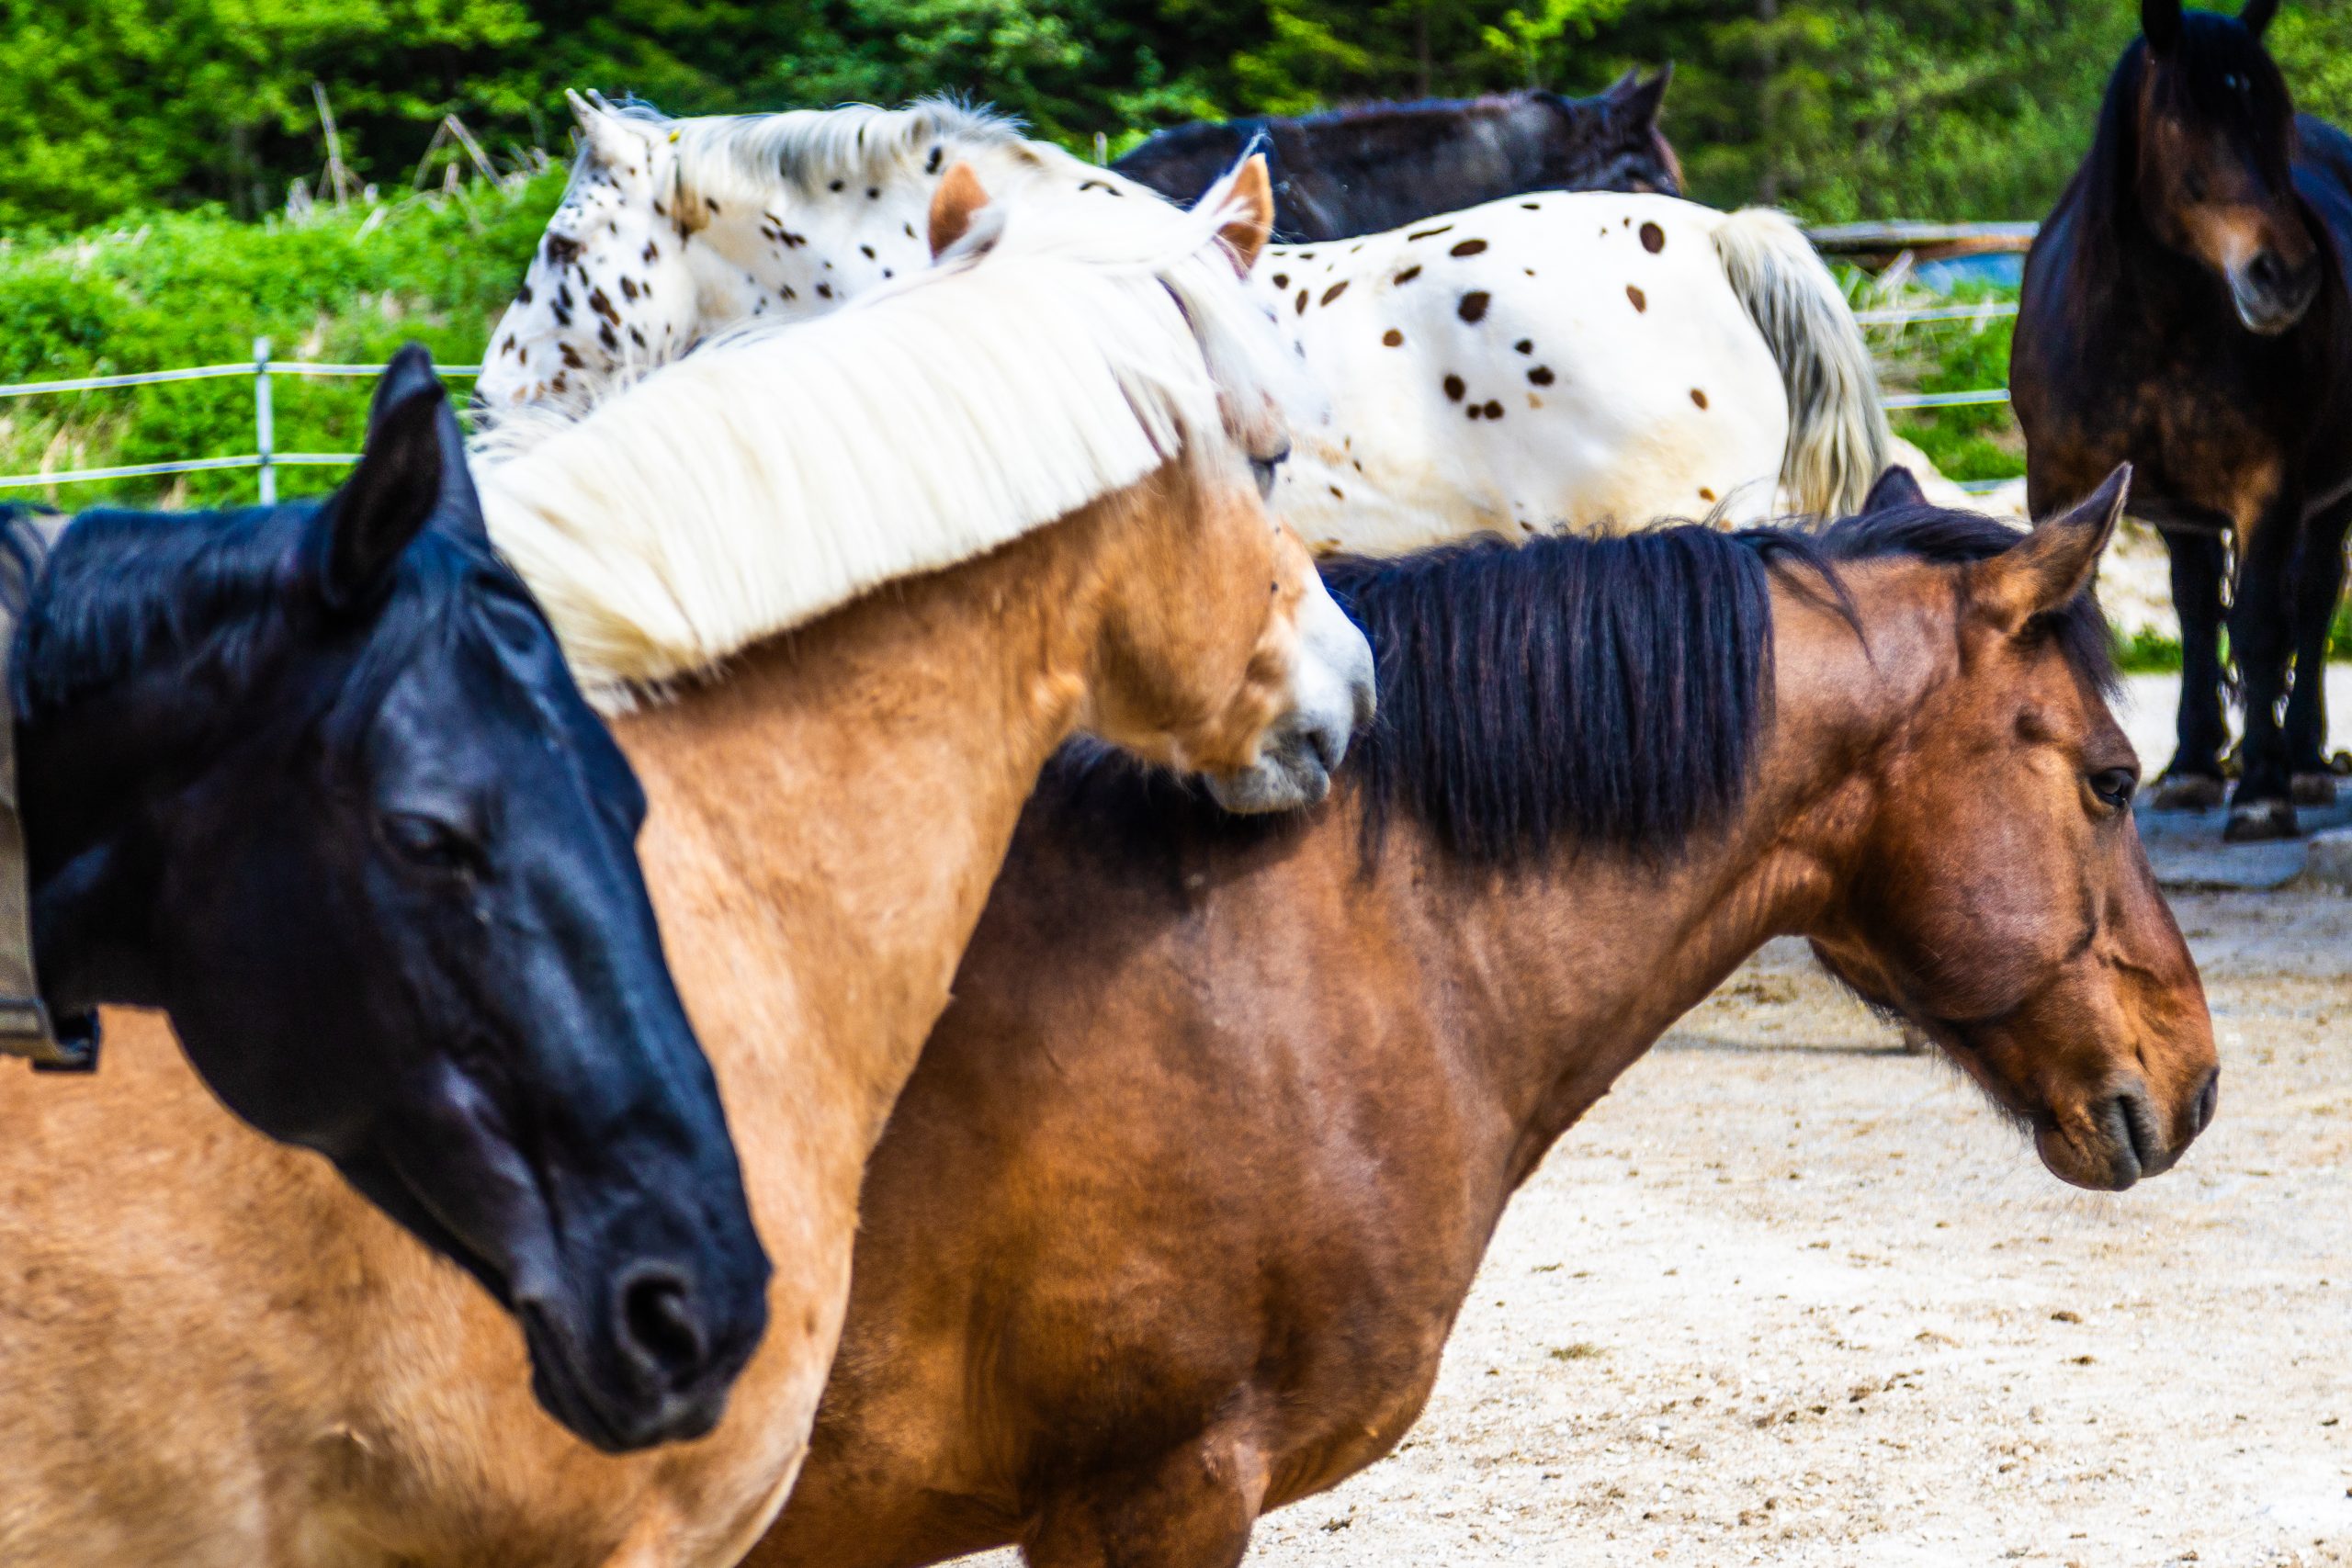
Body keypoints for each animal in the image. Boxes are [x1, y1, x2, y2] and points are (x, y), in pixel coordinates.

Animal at [2012, 0, 2352, 840]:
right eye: (2182, 124)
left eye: (2274, 119)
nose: (2286, 275)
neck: (2148, 328)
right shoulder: (2068, 491)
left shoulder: (2270, 491)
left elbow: (2261, 625)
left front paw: (2262, 789)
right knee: (2197, 608)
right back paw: (2197, 762)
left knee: (2313, 599)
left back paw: (2302, 760)